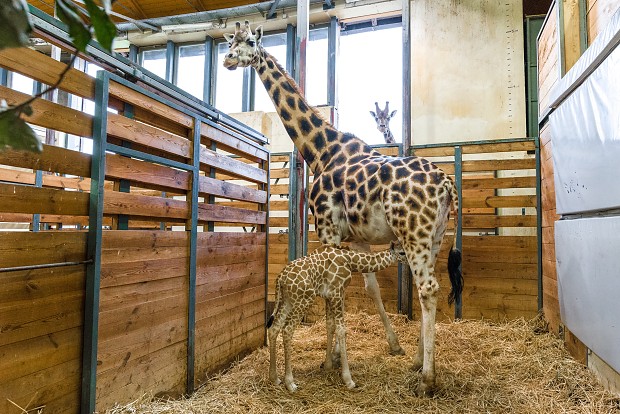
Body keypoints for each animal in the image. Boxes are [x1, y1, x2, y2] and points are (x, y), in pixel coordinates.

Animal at [266, 241, 406, 390]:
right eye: (402, 252)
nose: (409, 261)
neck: (350, 260)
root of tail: (280, 279)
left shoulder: (328, 296)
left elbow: (330, 326)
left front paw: (328, 365)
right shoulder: (337, 292)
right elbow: (341, 330)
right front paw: (348, 380)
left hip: (287, 300)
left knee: (274, 328)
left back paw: (274, 378)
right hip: (303, 300)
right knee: (287, 330)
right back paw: (290, 383)